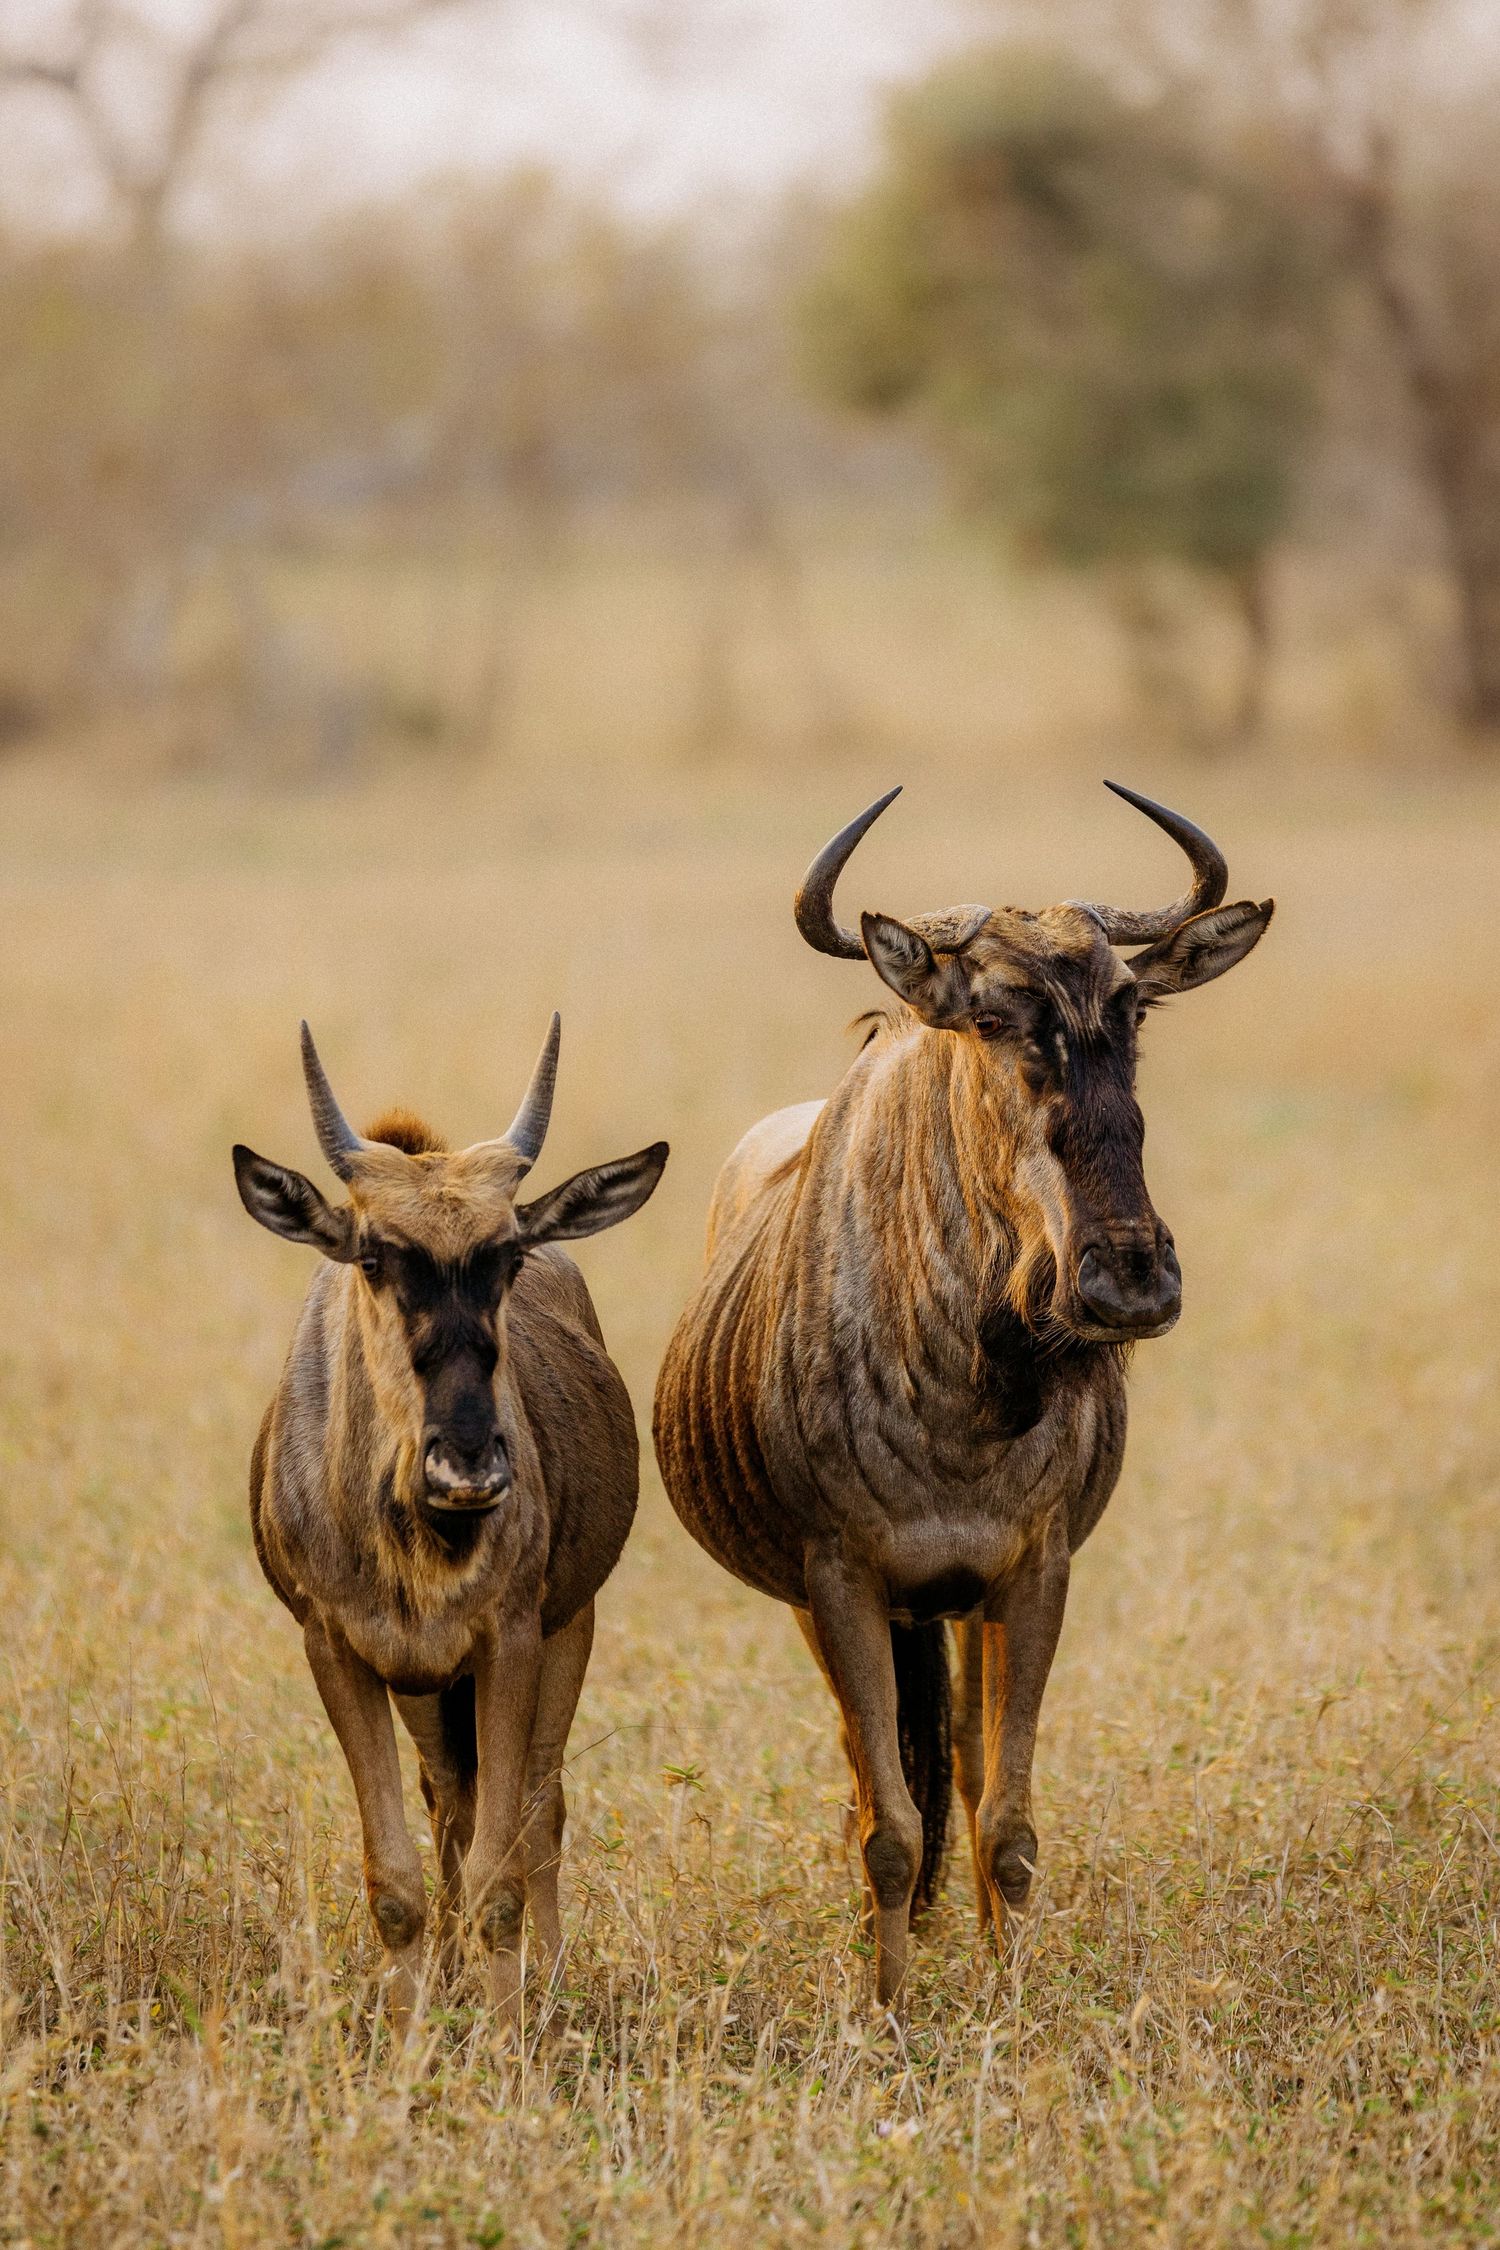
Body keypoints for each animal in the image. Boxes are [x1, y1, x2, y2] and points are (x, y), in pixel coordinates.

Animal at [234, 1017, 667, 2031]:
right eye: (374, 1255)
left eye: (506, 1255)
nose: (467, 1465)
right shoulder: (340, 1649)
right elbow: (395, 1880)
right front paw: (411, 2035)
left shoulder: (511, 1640)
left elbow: (502, 1869)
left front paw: (509, 2043)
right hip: (429, 1688)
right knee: (450, 1801)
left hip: (565, 1631)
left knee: (538, 1811)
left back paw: (545, 1982)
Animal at [653, 784, 1272, 2005]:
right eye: (987, 1018)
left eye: (1133, 1008)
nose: (1128, 1276)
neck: (964, 1389)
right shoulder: (839, 1580)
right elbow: (890, 1826)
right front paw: (889, 2007)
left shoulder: (1032, 1573)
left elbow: (1008, 1820)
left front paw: (1011, 1993)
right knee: (869, 1777)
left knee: (967, 1773)